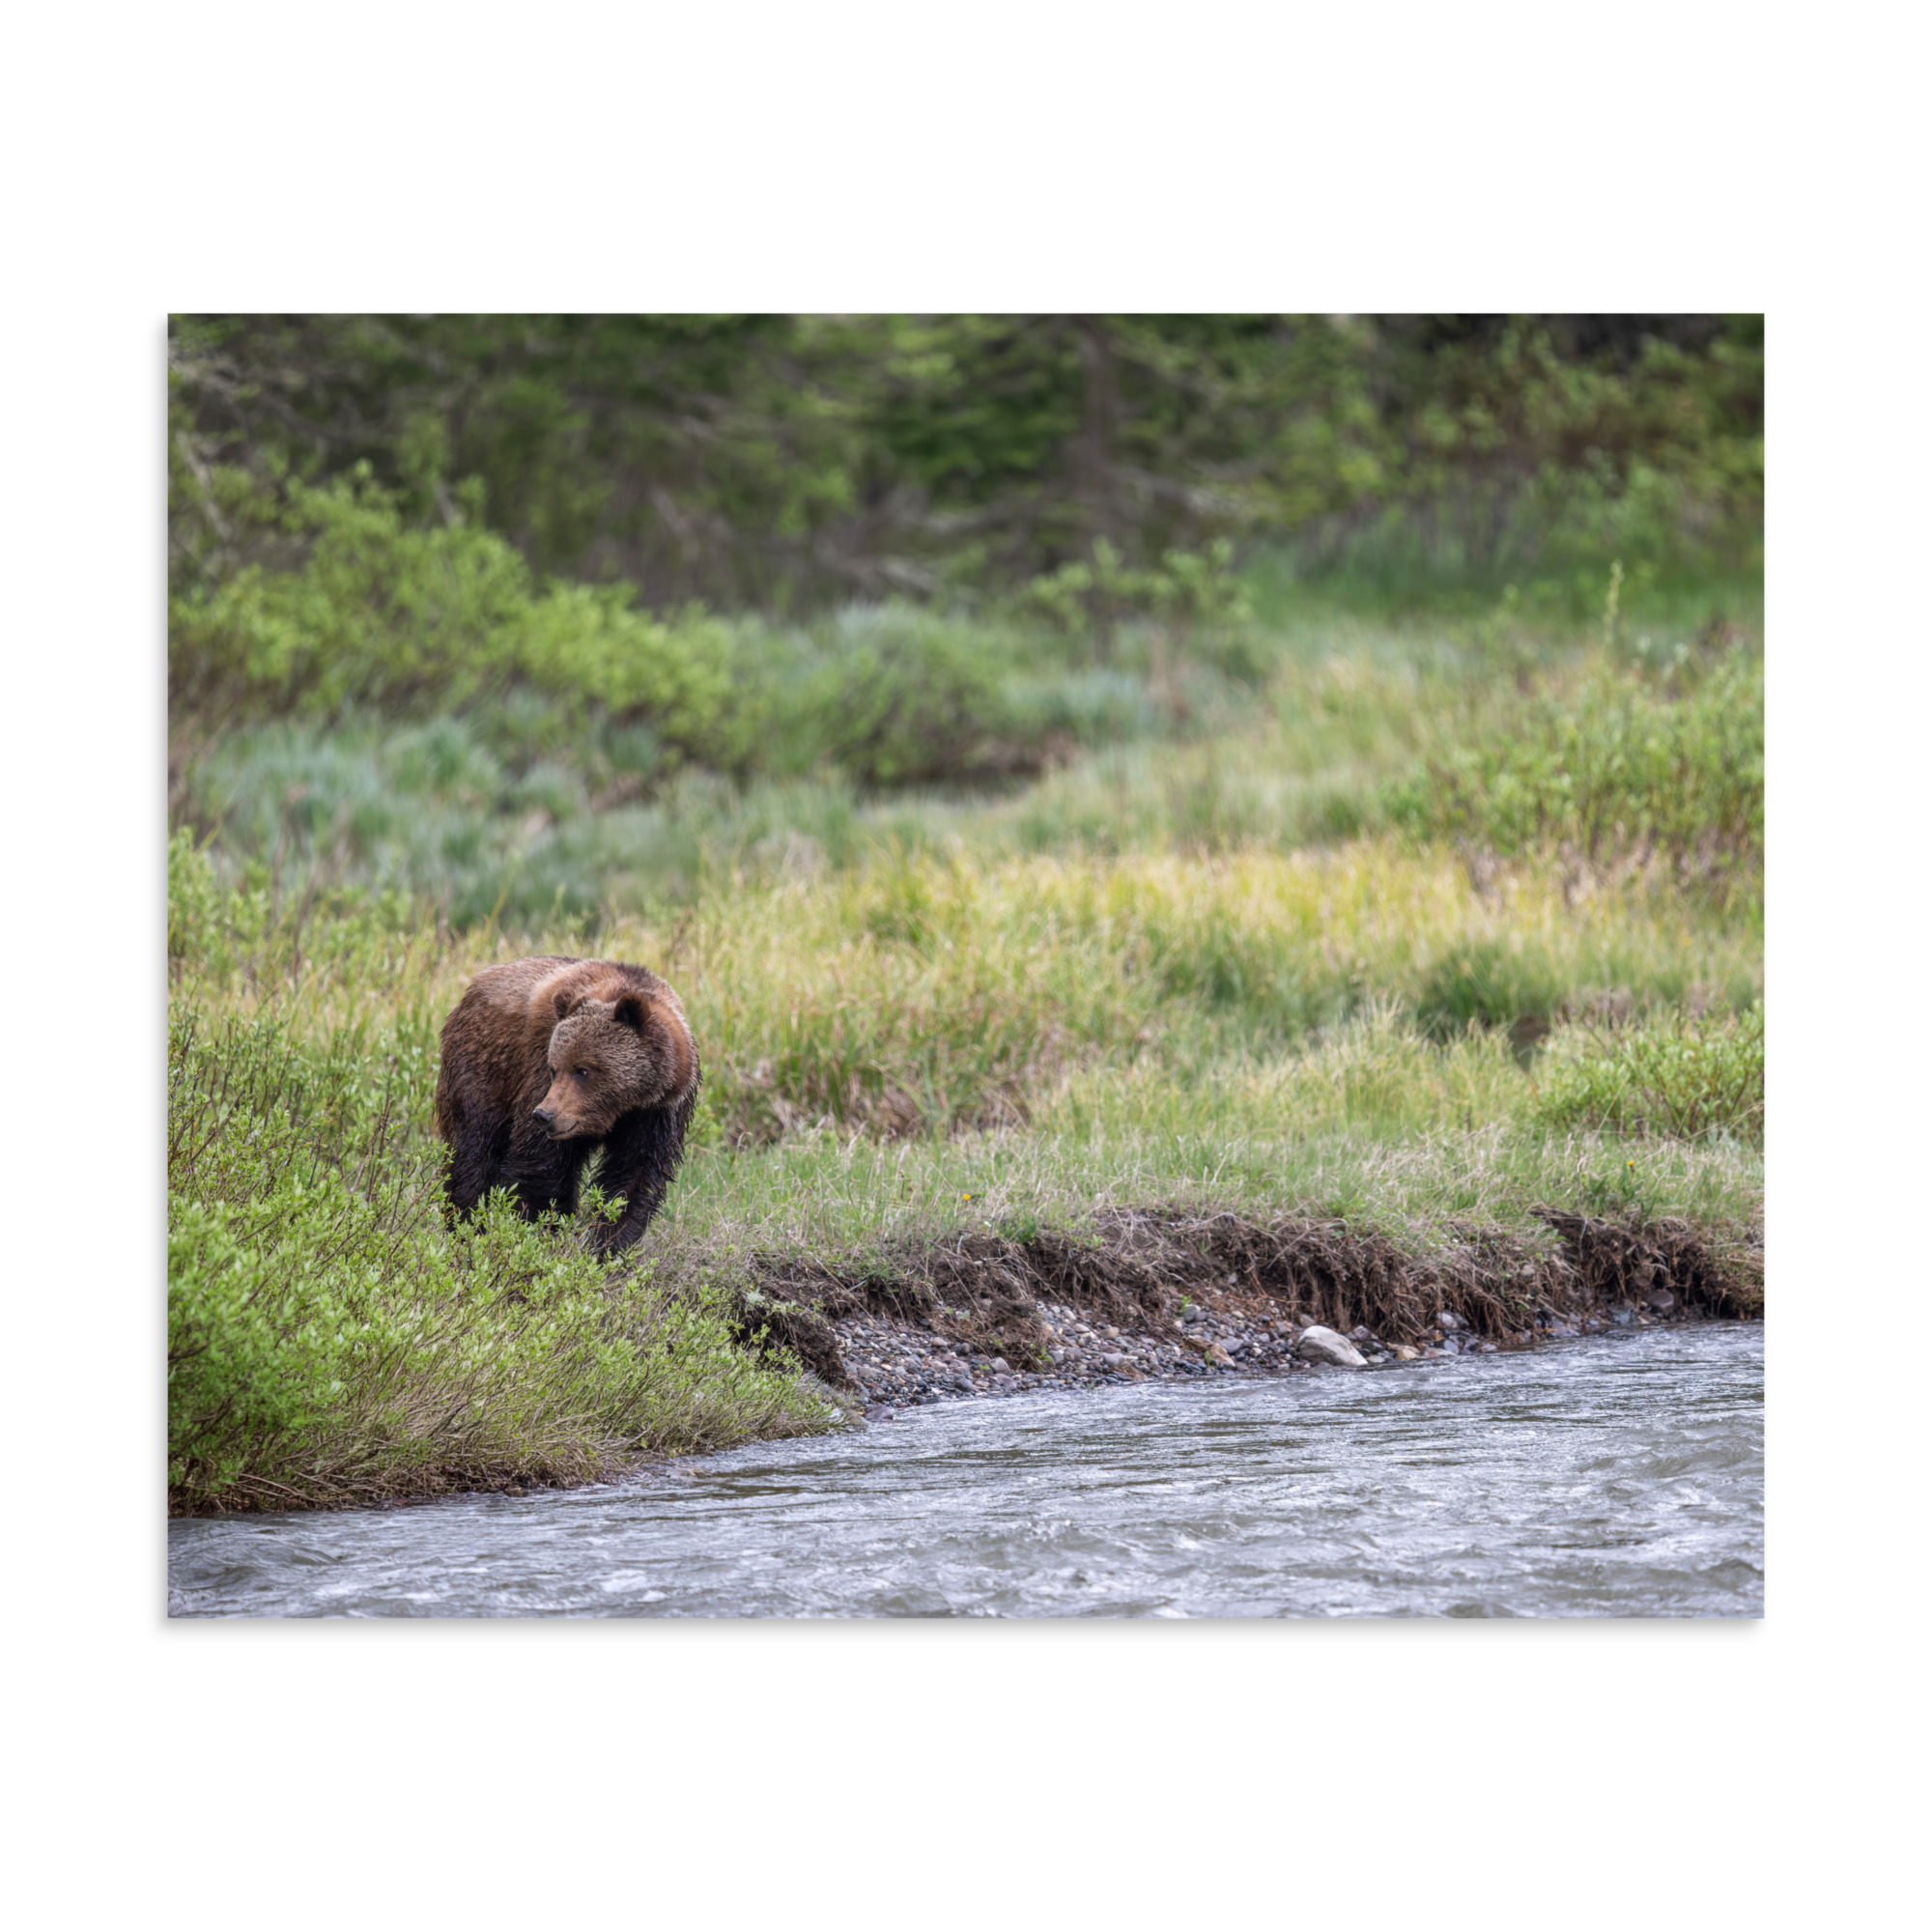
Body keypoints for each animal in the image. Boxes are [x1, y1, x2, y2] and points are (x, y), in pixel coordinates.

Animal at [433, 954, 700, 1256]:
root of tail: (473, 987)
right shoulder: (537, 1073)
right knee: (473, 1151)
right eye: (554, 1068)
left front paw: (609, 1246)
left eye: (582, 1070)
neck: (622, 1107)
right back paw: (466, 1229)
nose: (544, 1115)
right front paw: (537, 1233)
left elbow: (633, 1179)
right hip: (484, 1067)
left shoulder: (657, 1114)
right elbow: (541, 1168)